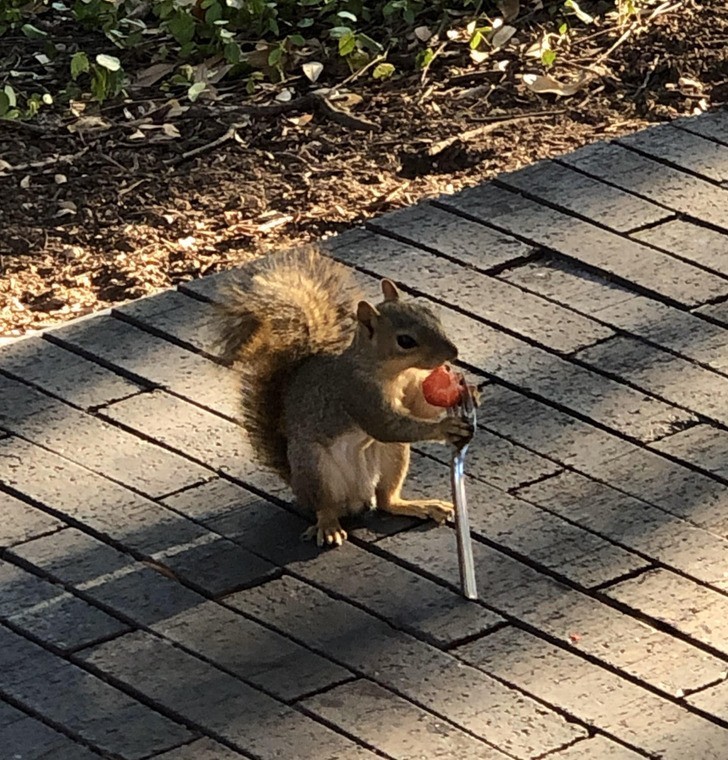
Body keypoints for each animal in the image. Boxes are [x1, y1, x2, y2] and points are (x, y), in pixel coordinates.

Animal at [216, 246, 474, 548]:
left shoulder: (408, 389)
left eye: (431, 314)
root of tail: (355, 498)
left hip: (394, 454)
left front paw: (468, 392)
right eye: (405, 341)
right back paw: (328, 526)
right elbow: (386, 426)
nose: (453, 353)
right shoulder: (357, 394)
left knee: (386, 501)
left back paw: (417, 505)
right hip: (315, 468)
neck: (392, 371)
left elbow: (418, 409)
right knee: (325, 506)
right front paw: (445, 427)